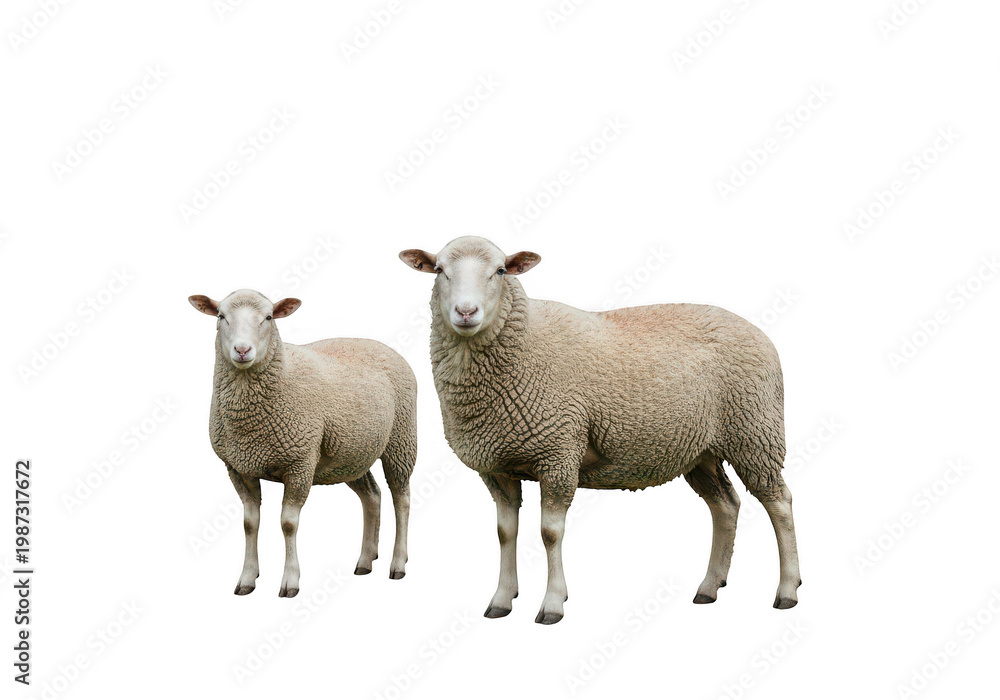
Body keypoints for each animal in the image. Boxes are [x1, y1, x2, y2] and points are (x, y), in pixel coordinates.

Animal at [188, 289, 417, 597]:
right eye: (221, 316)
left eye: (269, 317)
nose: (242, 350)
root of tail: (381, 345)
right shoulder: (239, 467)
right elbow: (249, 523)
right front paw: (247, 578)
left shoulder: (299, 464)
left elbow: (288, 523)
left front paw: (290, 581)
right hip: (352, 454)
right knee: (372, 495)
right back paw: (366, 560)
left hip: (401, 441)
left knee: (401, 498)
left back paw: (398, 563)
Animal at [399, 236, 801, 624]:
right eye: (439, 270)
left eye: (500, 271)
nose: (466, 312)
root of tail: (757, 331)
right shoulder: (498, 466)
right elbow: (504, 533)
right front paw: (501, 599)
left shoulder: (559, 453)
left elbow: (550, 533)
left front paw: (552, 604)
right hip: (700, 449)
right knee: (726, 505)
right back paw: (710, 586)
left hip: (754, 432)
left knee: (779, 503)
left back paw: (787, 590)